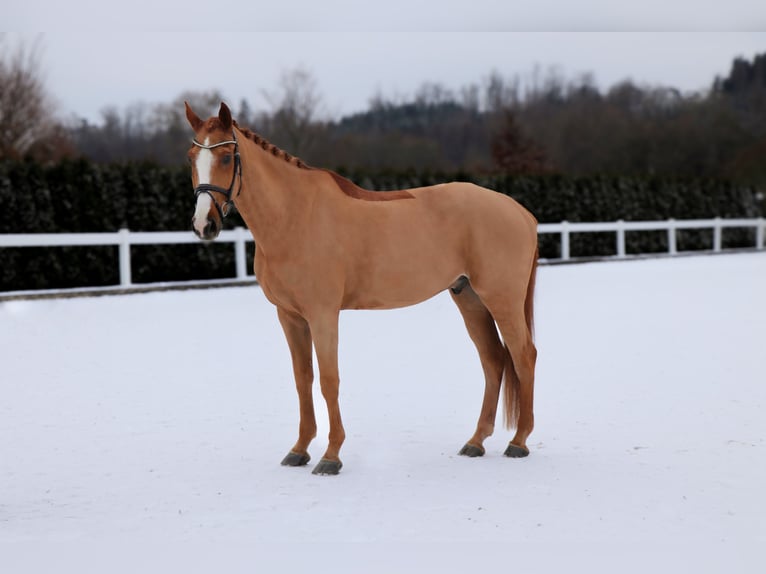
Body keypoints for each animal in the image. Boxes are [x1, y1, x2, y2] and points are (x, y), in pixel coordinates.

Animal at [185, 102, 539, 475]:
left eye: (226, 157)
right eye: (192, 156)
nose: (204, 225)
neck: (295, 216)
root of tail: (521, 212)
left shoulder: (323, 314)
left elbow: (329, 380)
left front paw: (331, 455)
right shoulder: (289, 316)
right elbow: (303, 380)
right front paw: (299, 449)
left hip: (502, 300)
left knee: (523, 356)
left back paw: (519, 442)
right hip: (469, 298)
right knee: (494, 360)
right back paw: (476, 442)